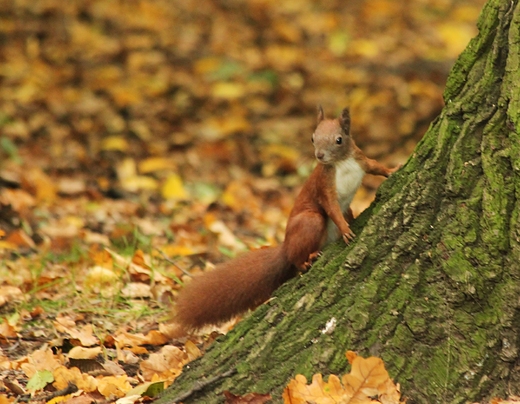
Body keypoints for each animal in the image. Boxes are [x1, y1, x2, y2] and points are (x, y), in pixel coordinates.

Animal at [174, 106, 398, 332]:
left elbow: (375, 166)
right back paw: (307, 260)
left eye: (339, 139)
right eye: (312, 138)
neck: (341, 163)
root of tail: (286, 247)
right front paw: (345, 230)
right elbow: (331, 207)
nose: (319, 155)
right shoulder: (324, 185)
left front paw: (392, 170)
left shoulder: (361, 160)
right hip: (309, 221)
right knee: (297, 256)